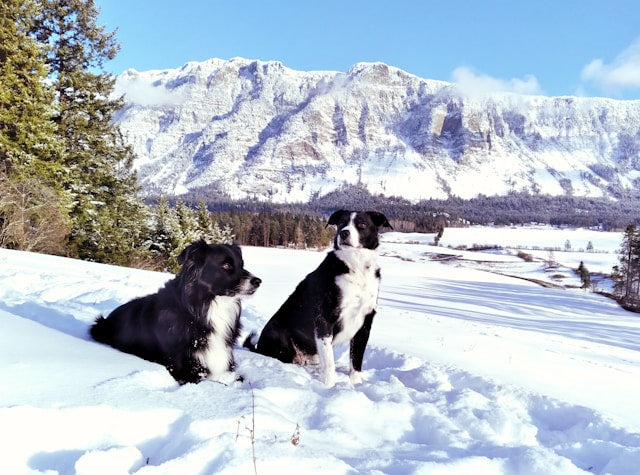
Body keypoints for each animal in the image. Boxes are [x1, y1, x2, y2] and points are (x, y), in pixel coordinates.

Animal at [245, 211, 390, 386]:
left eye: (362, 224)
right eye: (341, 223)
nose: (344, 233)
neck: (356, 267)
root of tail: (259, 346)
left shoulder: (365, 323)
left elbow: (356, 361)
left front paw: (356, 383)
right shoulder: (324, 319)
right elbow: (329, 361)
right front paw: (330, 385)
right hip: (281, 337)